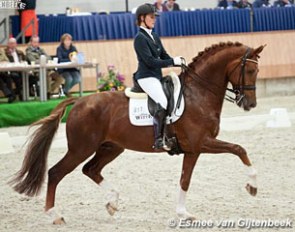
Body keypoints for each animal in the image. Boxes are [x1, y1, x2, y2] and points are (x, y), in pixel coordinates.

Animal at [10, 42, 266, 224]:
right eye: (250, 69)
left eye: (257, 70)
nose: (250, 104)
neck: (198, 94)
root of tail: (80, 101)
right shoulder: (201, 143)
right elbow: (238, 149)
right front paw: (252, 186)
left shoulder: (193, 150)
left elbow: (185, 179)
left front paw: (183, 213)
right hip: (81, 148)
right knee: (55, 173)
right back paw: (55, 215)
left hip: (111, 147)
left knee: (91, 170)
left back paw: (112, 202)